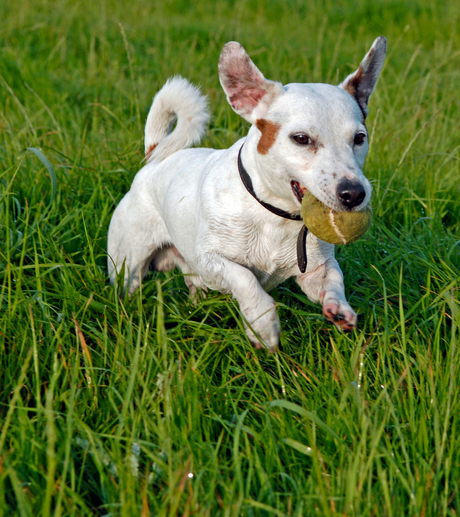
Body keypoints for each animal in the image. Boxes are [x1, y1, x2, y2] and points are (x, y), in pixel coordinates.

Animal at [109, 37, 386, 350]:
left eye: (360, 138)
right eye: (301, 139)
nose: (354, 193)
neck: (276, 215)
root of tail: (154, 158)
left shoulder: (317, 270)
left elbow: (333, 283)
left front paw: (338, 309)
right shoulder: (210, 260)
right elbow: (244, 278)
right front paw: (262, 323)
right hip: (128, 264)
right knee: (128, 285)